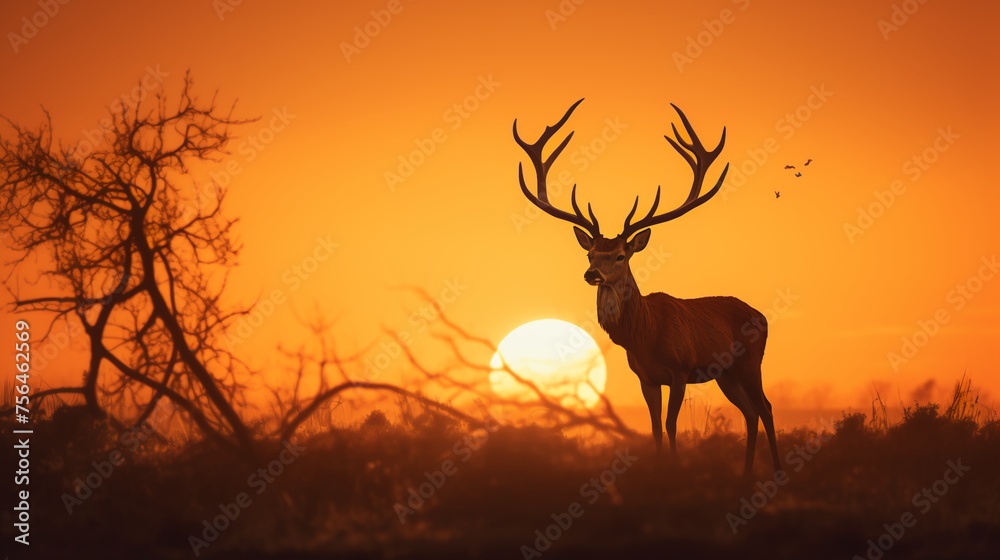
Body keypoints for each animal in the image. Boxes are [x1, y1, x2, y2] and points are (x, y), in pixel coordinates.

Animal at [513, 99, 781, 475]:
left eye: (621, 255)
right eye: (591, 253)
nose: (592, 274)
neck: (645, 336)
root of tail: (761, 316)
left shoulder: (681, 369)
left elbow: (671, 425)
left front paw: (676, 471)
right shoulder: (646, 377)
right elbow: (654, 427)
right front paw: (660, 471)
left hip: (750, 361)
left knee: (766, 407)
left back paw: (777, 470)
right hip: (726, 374)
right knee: (751, 412)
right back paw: (744, 475)